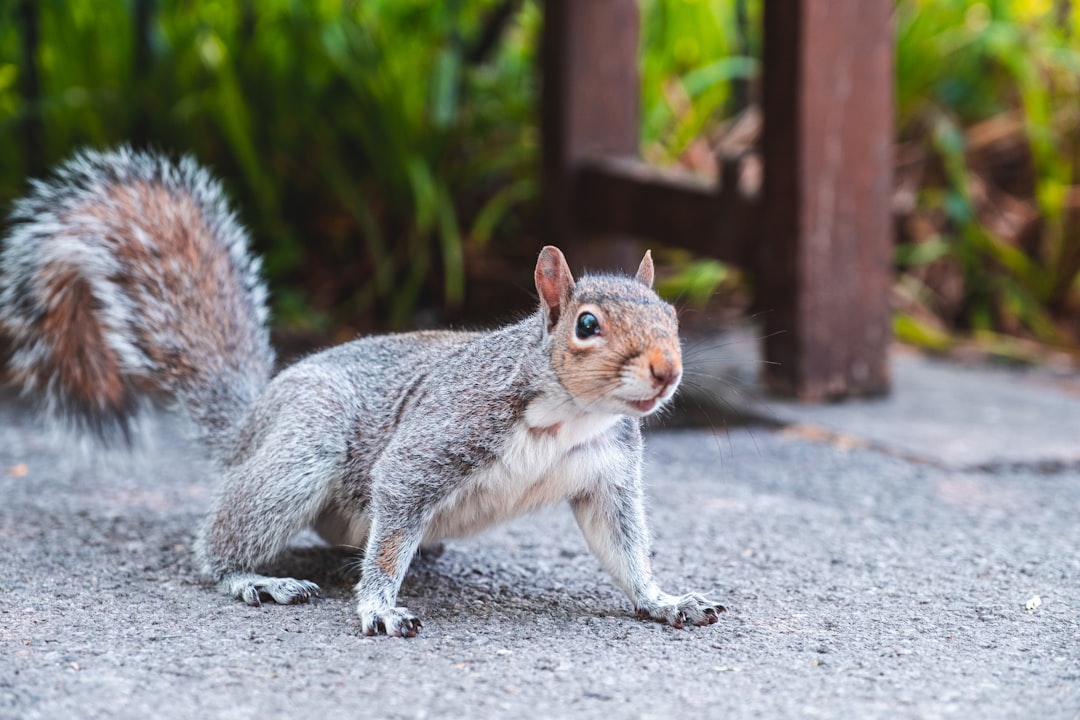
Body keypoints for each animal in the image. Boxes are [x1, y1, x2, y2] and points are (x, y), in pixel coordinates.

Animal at [2, 146, 725, 634]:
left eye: (672, 315)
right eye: (586, 325)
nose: (666, 370)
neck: (567, 416)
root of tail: (248, 425)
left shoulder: (605, 473)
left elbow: (624, 548)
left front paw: (665, 600)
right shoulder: (437, 438)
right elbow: (391, 526)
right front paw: (379, 605)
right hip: (305, 442)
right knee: (216, 548)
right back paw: (254, 579)